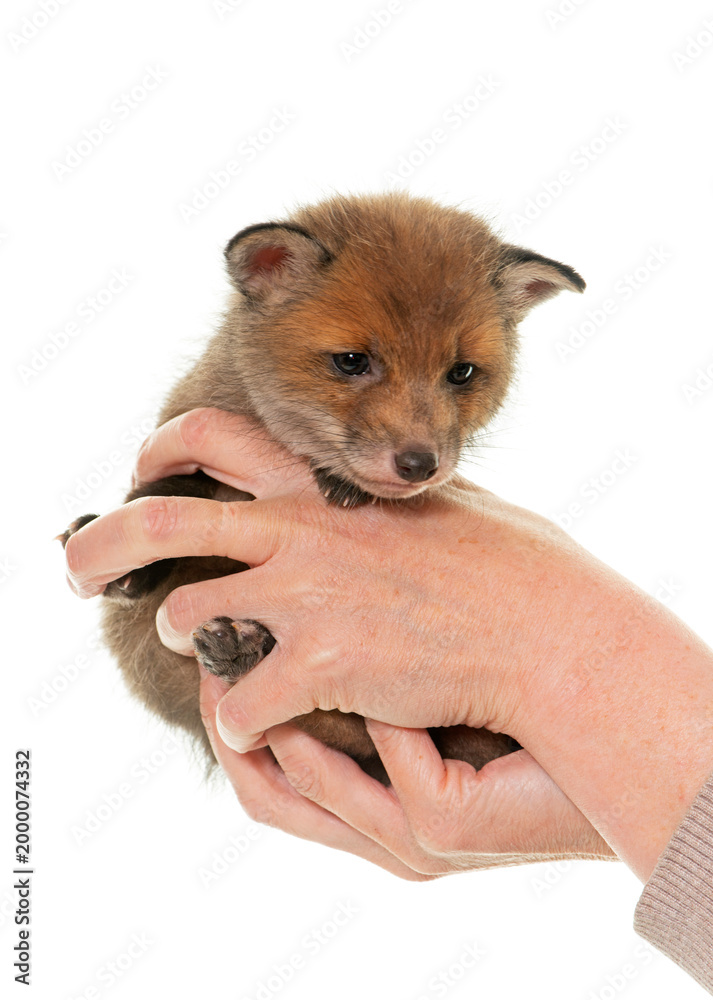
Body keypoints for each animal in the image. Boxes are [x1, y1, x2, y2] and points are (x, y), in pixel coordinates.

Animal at [61, 191, 586, 786]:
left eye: (461, 373)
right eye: (352, 361)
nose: (419, 464)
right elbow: (172, 490)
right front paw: (117, 545)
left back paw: (243, 656)